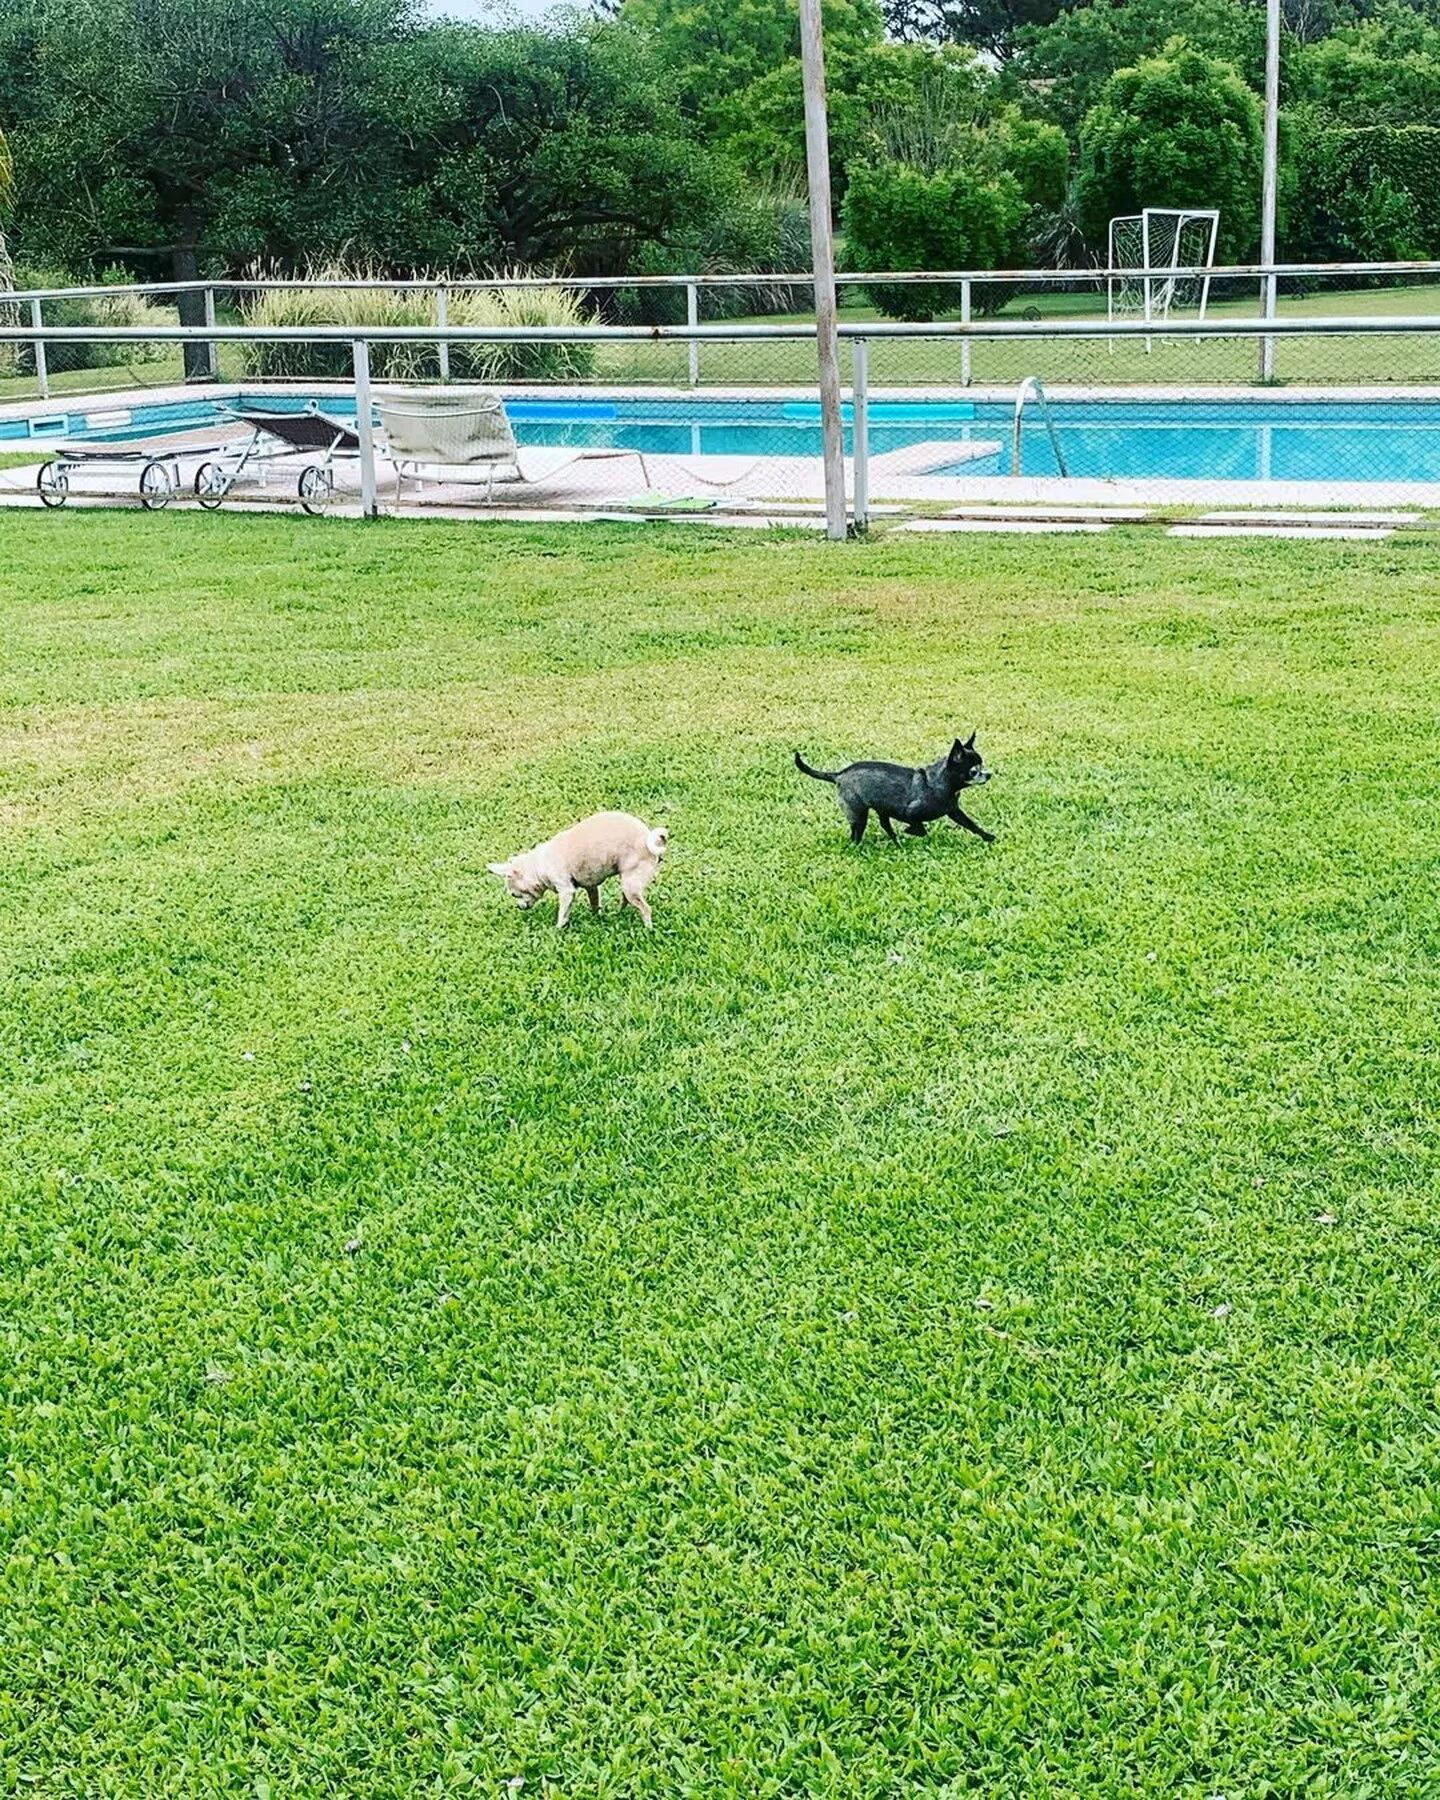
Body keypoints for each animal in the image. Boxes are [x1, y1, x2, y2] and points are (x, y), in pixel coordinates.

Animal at [482, 817, 662, 928]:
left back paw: (648, 929)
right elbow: (594, 902)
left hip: (630, 883)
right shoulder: (591, 886)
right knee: (626, 899)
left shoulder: (567, 891)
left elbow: (563, 913)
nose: (518, 907)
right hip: (627, 881)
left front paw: (558, 929)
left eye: (514, 895)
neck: (539, 865)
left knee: (645, 908)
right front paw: (596, 917)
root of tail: (649, 837)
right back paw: (618, 913)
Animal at [792, 730, 993, 842]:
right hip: (858, 814)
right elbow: (919, 827)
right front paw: (911, 831)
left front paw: (988, 837)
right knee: (857, 833)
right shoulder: (909, 813)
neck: (942, 784)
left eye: (981, 767)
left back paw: (895, 841)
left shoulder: (954, 811)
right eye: (973, 771)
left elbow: (971, 825)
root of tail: (839, 774)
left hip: (880, 809)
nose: (988, 774)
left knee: (884, 825)